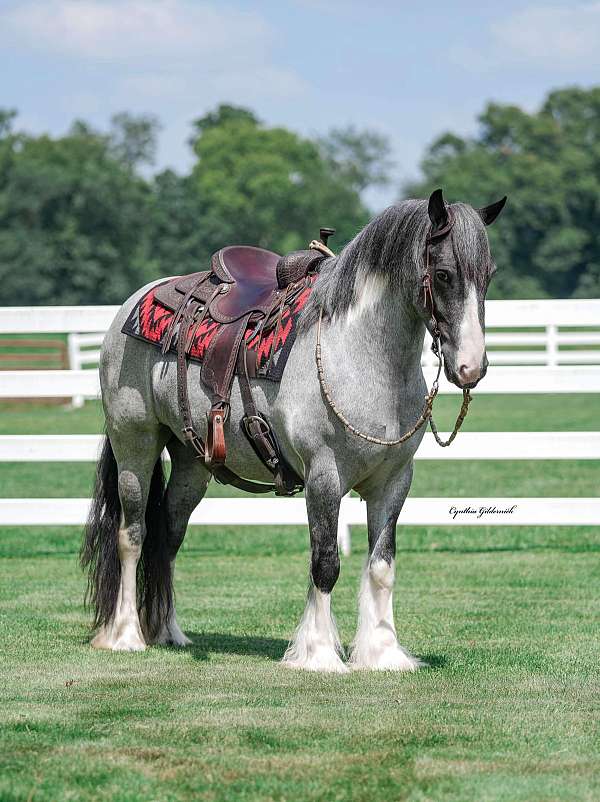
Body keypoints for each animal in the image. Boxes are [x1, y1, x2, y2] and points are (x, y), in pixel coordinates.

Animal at [81, 188, 506, 668]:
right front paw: (319, 654)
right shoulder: (323, 477)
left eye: (488, 274)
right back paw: (125, 635)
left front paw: (382, 653)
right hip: (134, 442)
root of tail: (136, 301)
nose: (471, 367)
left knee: (168, 537)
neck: (358, 356)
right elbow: (325, 562)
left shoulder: (394, 482)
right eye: (445, 273)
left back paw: (170, 632)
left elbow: (382, 567)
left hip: (192, 462)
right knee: (133, 534)